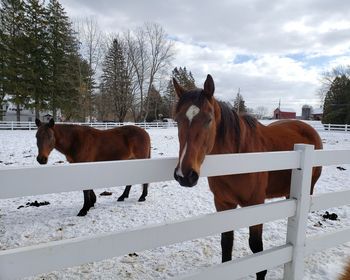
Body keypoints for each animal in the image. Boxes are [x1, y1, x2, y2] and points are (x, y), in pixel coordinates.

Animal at [172, 75, 322, 280]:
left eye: (209, 119)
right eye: (177, 120)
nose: (184, 175)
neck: (240, 156)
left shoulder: (255, 204)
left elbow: (256, 248)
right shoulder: (223, 204)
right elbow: (226, 243)